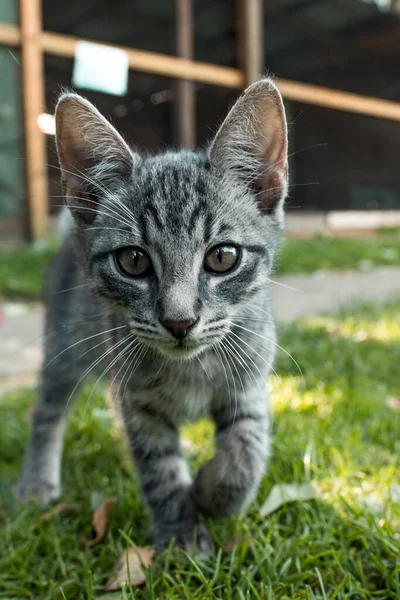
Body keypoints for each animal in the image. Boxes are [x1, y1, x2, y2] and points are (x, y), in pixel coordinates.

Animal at [16, 78, 288, 552]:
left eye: (222, 257)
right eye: (134, 261)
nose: (179, 321)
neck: (192, 368)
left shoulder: (249, 381)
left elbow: (247, 449)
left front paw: (213, 492)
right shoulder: (138, 402)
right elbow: (160, 470)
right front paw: (182, 538)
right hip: (64, 347)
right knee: (47, 410)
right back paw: (38, 480)